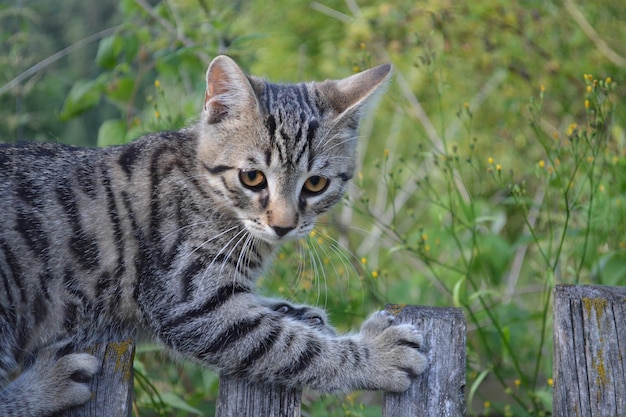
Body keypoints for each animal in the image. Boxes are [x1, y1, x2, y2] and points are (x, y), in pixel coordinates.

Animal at [0, 56, 426, 416]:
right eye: (252, 177)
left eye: (316, 184)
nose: (284, 225)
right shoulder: (187, 299)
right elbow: (289, 346)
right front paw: (374, 356)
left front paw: (292, 310)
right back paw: (50, 383)